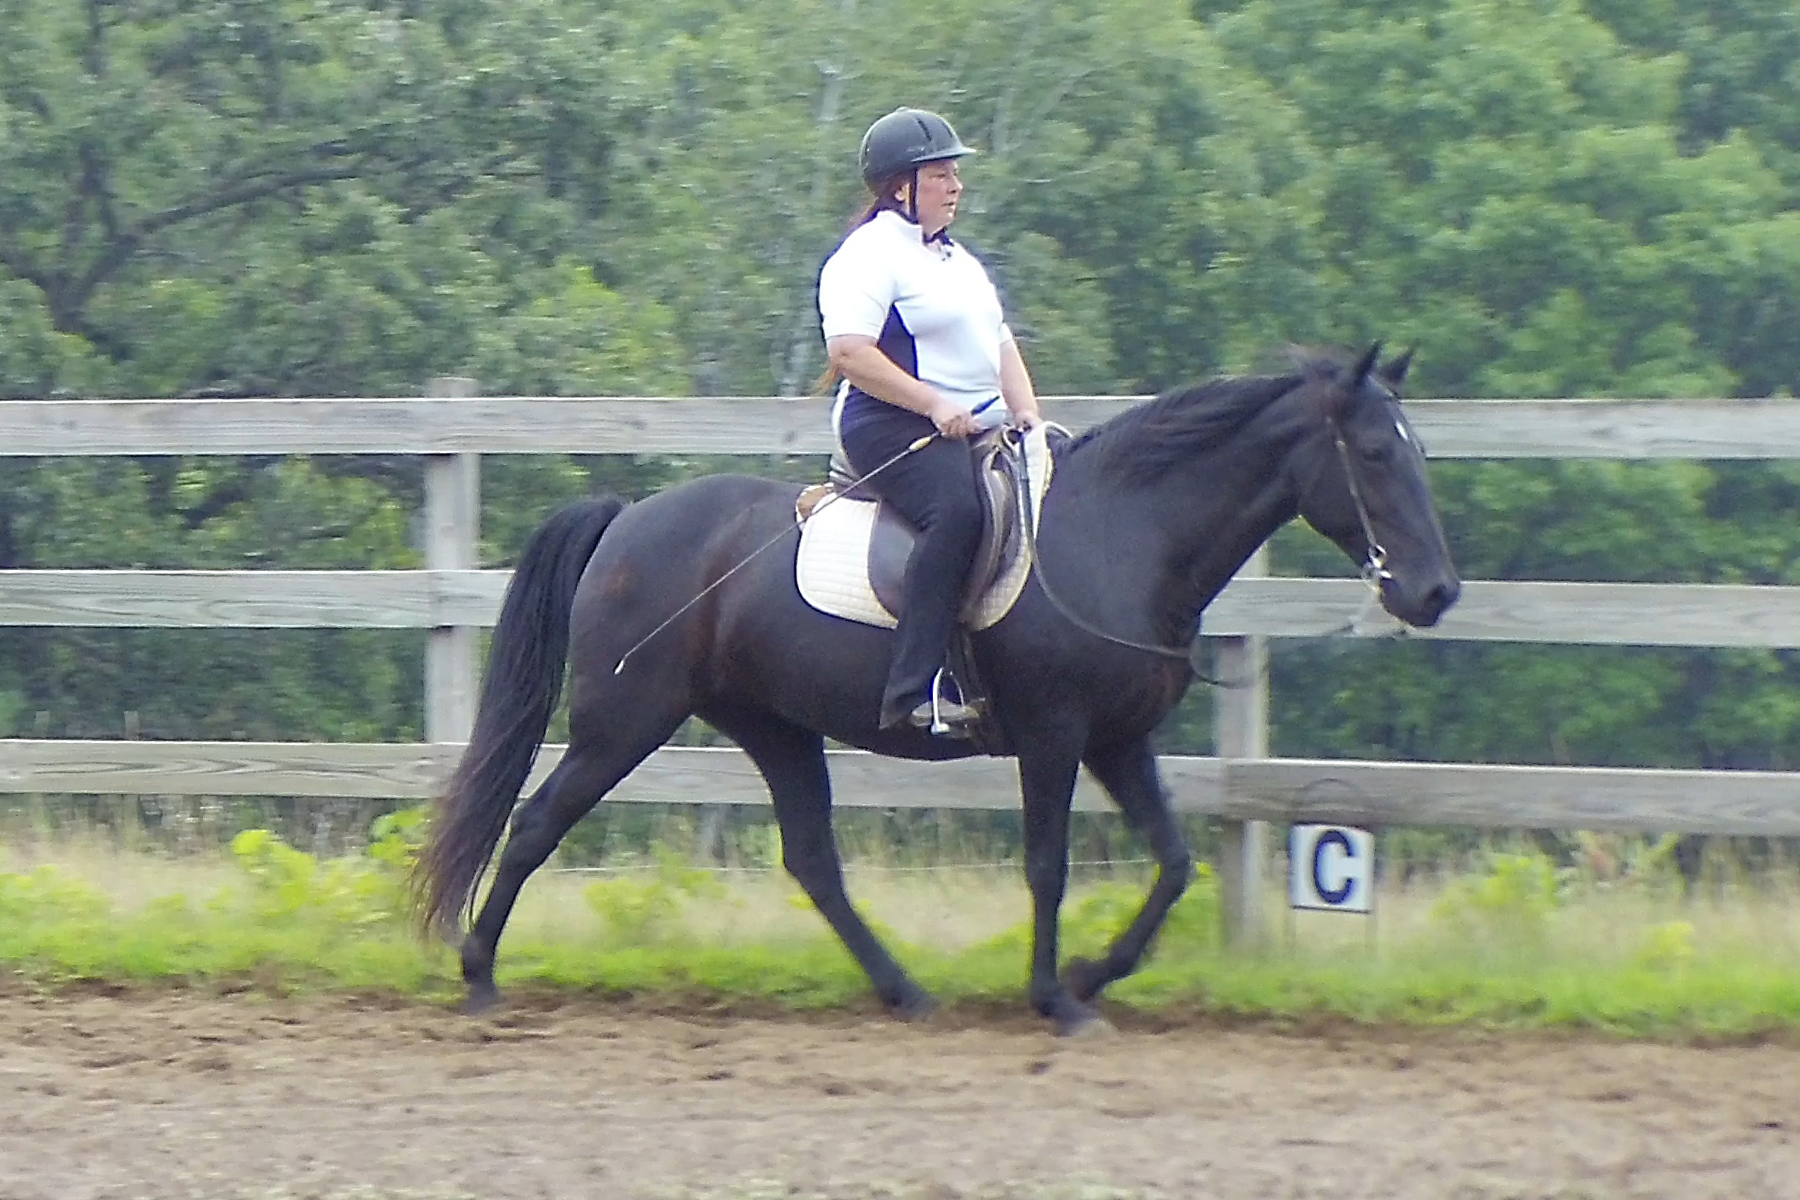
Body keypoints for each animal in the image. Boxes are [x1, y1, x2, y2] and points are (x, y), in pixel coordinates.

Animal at [412, 343, 1461, 1035]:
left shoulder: (1120, 741)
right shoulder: (1055, 735)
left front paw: (1093, 976)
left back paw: (905, 991)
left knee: (813, 863)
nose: (1435, 592)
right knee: (537, 821)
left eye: (1415, 450)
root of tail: (629, 519)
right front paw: (1054, 998)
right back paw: (478, 976)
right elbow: (1049, 866)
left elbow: (1174, 864)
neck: (1121, 534)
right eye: (1374, 453)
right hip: (623, 722)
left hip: (773, 727)